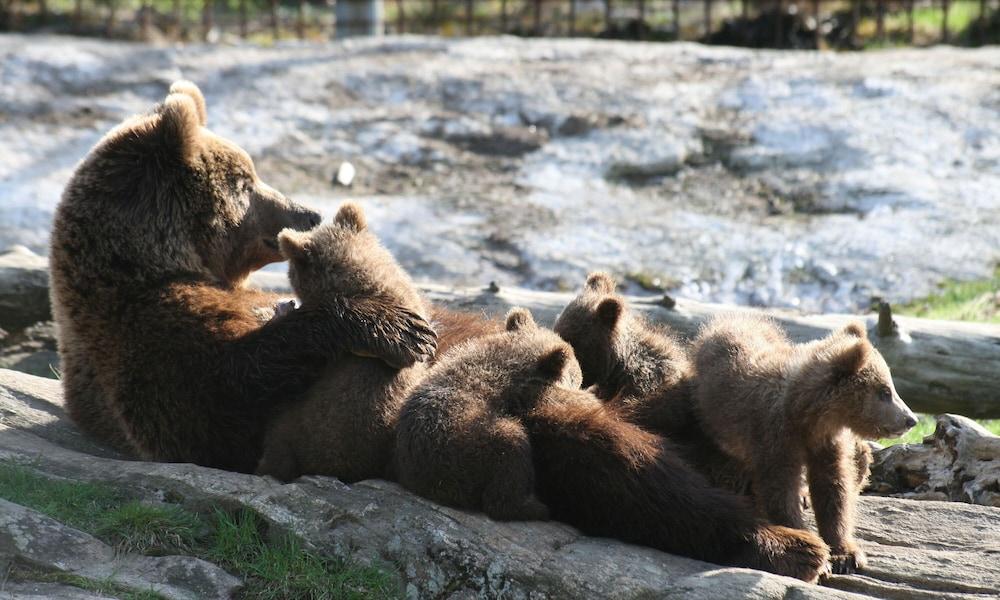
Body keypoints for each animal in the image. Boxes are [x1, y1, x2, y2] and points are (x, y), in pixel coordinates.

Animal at [49, 81, 434, 474]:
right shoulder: (146, 333)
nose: (308, 213)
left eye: (253, 174)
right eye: (245, 183)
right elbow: (230, 385)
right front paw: (404, 331)